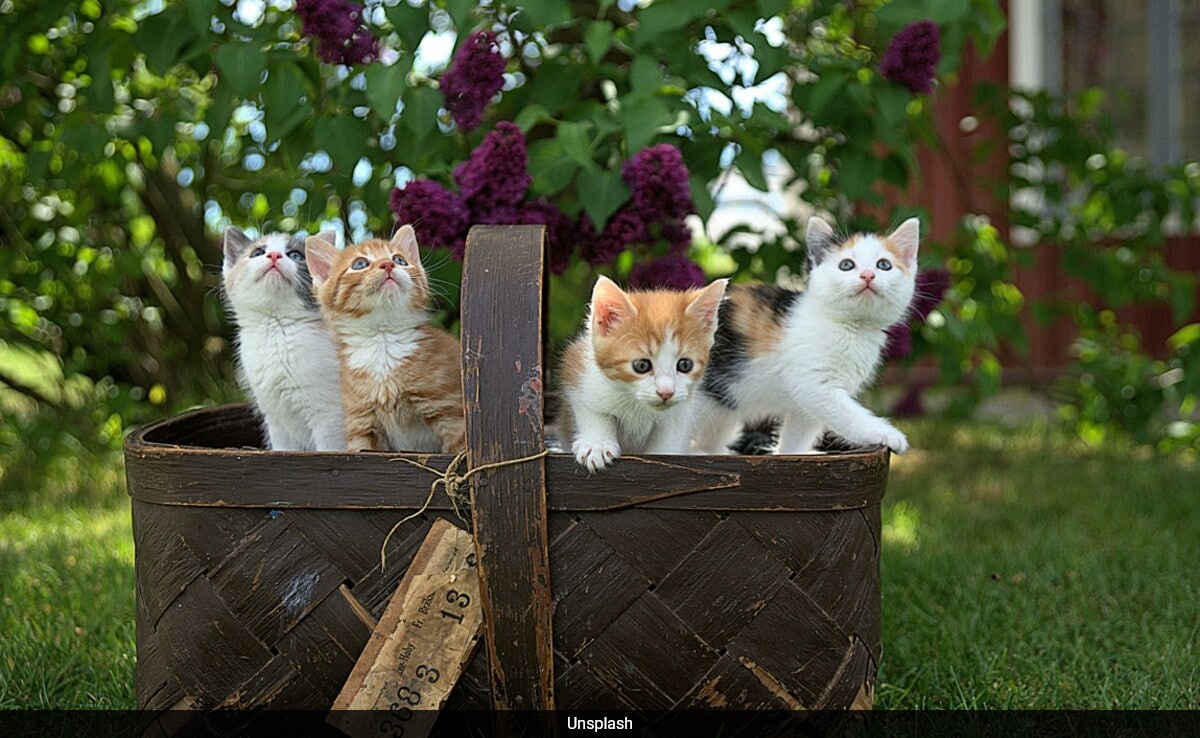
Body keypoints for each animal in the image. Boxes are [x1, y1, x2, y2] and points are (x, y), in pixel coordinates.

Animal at [220, 225, 348, 451]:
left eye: (295, 255)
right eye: (257, 253)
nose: (274, 255)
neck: (277, 328)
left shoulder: (330, 416)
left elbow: (330, 449)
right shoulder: (276, 421)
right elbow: (283, 449)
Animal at [304, 226, 463, 456]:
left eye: (399, 259)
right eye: (359, 264)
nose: (388, 264)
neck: (383, 341)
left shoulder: (450, 412)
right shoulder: (361, 423)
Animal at [554, 277, 729, 472]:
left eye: (685, 365)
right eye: (641, 365)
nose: (666, 393)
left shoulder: (682, 410)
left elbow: (670, 435)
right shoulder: (578, 369)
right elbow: (592, 410)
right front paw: (597, 444)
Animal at [696, 216, 916, 453]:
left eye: (884, 265)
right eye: (846, 265)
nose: (868, 275)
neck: (851, 327)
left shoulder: (806, 404)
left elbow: (797, 435)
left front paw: (789, 454)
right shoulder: (814, 384)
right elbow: (848, 414)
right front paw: (886, 433)